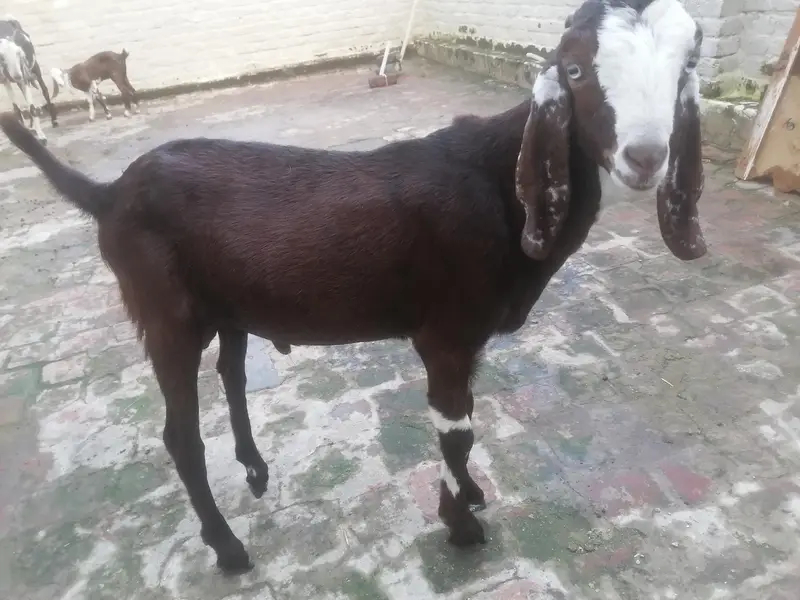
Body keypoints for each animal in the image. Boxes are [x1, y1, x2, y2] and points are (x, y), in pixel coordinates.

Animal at [0, 0, 707, 575]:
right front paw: (463, 528)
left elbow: (466, 420)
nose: (645, 157)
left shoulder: (469, 338)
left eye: (684, 71)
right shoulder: (446, 332)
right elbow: (456, 429)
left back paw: (254, 468)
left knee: (232, 374)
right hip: (165, 312)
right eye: (577, 71)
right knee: (180, 434)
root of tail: (108, 194)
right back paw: (228, 549)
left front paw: (470, 497)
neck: (497, 184)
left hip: (227, 305)